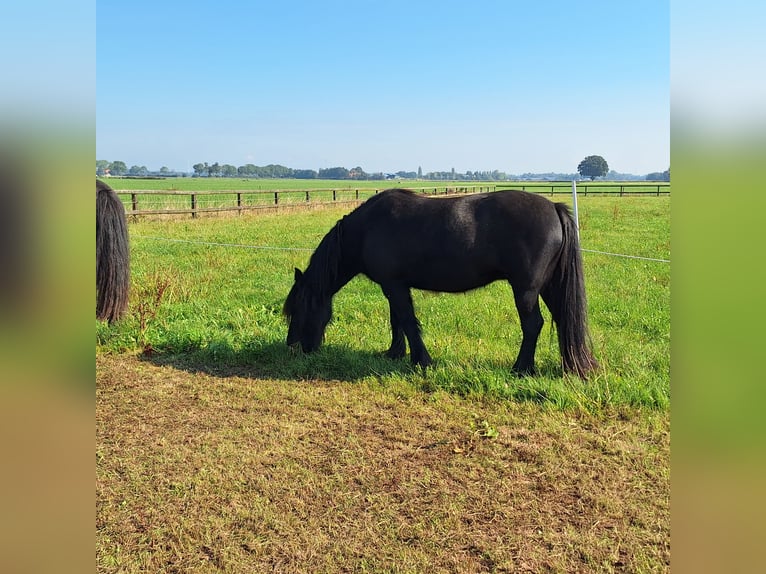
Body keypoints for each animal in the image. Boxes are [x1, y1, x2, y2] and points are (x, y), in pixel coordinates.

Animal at [283, 188, 598, 378]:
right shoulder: (393, 286)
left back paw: (521, 368)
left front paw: (421, 360)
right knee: (563, 319)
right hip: (549, 287)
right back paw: (568, 366)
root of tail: (554, 207)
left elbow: (407, 321)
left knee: (533, 325)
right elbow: (397, 321)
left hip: (526, 290)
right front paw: (394, 354)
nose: (293, 348)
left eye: (298, 309)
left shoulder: (394, 286)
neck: (367, 228)